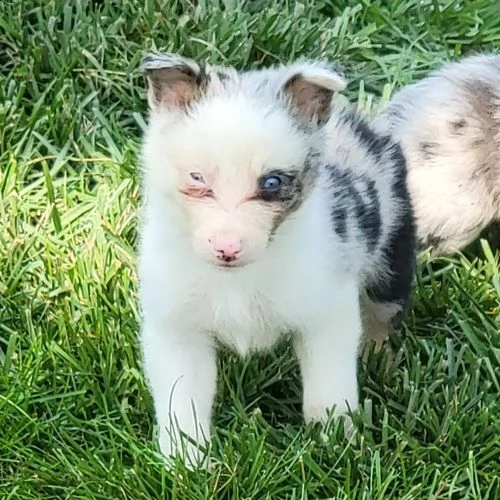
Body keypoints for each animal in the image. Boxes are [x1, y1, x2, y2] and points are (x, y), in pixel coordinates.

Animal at [137, 52, 414, 466]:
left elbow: (328, 387)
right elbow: (181, 399)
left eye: (271, 183)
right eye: (197, 178)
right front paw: (185, 463)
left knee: (383, 309)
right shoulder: (175, 327)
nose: (228, 248)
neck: (237, 279)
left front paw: (336, 445)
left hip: (393, 255)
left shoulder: (326, 312)